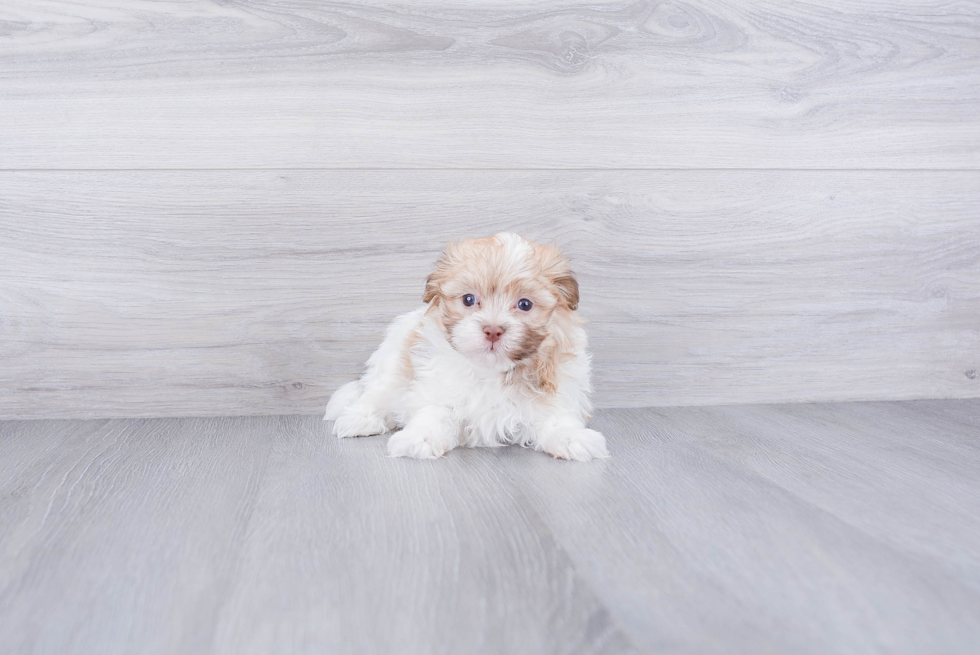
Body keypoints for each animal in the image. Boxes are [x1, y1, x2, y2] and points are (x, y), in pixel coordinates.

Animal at [326, 233, 608, 464]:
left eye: (525, 304)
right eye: (469, 299)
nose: (493, 330)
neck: (491, 370)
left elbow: (556, 418)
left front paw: (573, 438)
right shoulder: (437, 386)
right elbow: (434, 413)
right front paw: (419, 439)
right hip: (392, 363)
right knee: (377, 395)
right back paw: (359, 420)